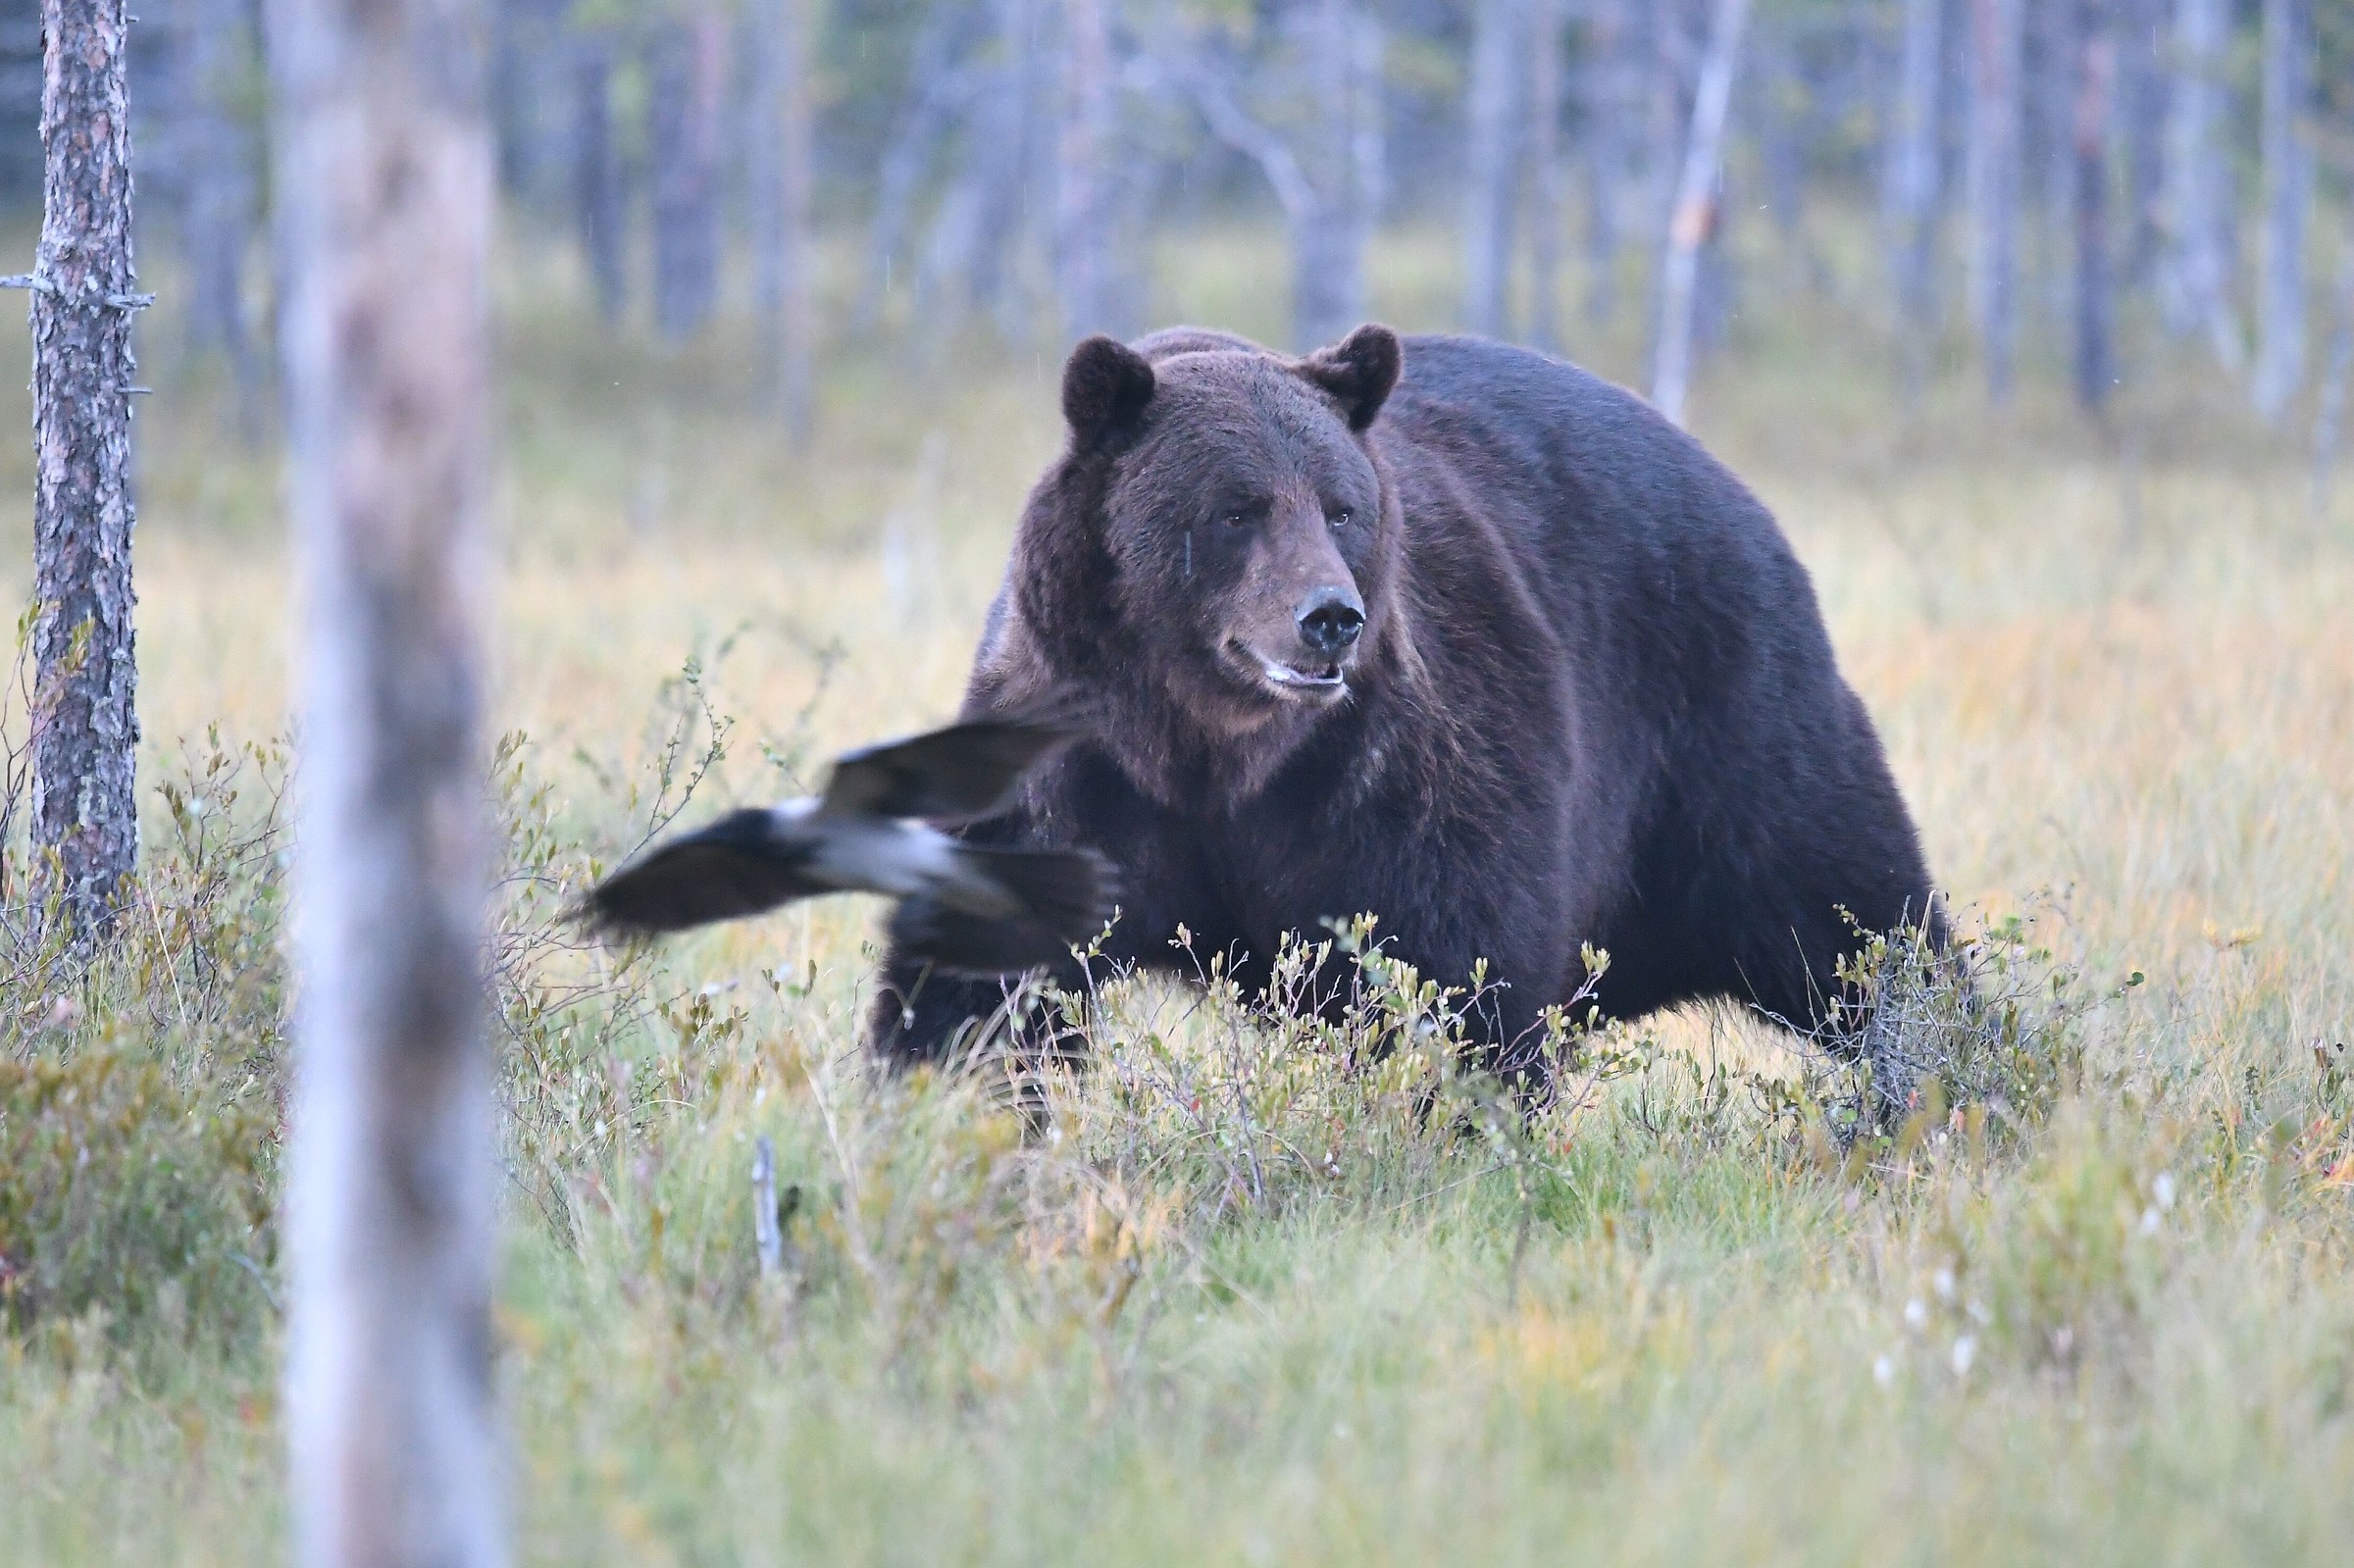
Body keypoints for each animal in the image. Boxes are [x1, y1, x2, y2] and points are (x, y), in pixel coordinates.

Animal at [867, 323, 1937, 1082]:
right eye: (1237, 507)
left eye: (1341, 507)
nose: (1329, 618)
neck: (1210, 748)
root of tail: (1728, 479)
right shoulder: (1066, 761)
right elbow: (985, 972)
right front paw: (944, 1087)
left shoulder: (1391, 758)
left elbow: (1452, 958)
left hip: (1723, 714)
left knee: (1851, 912)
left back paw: (1934, 1057)